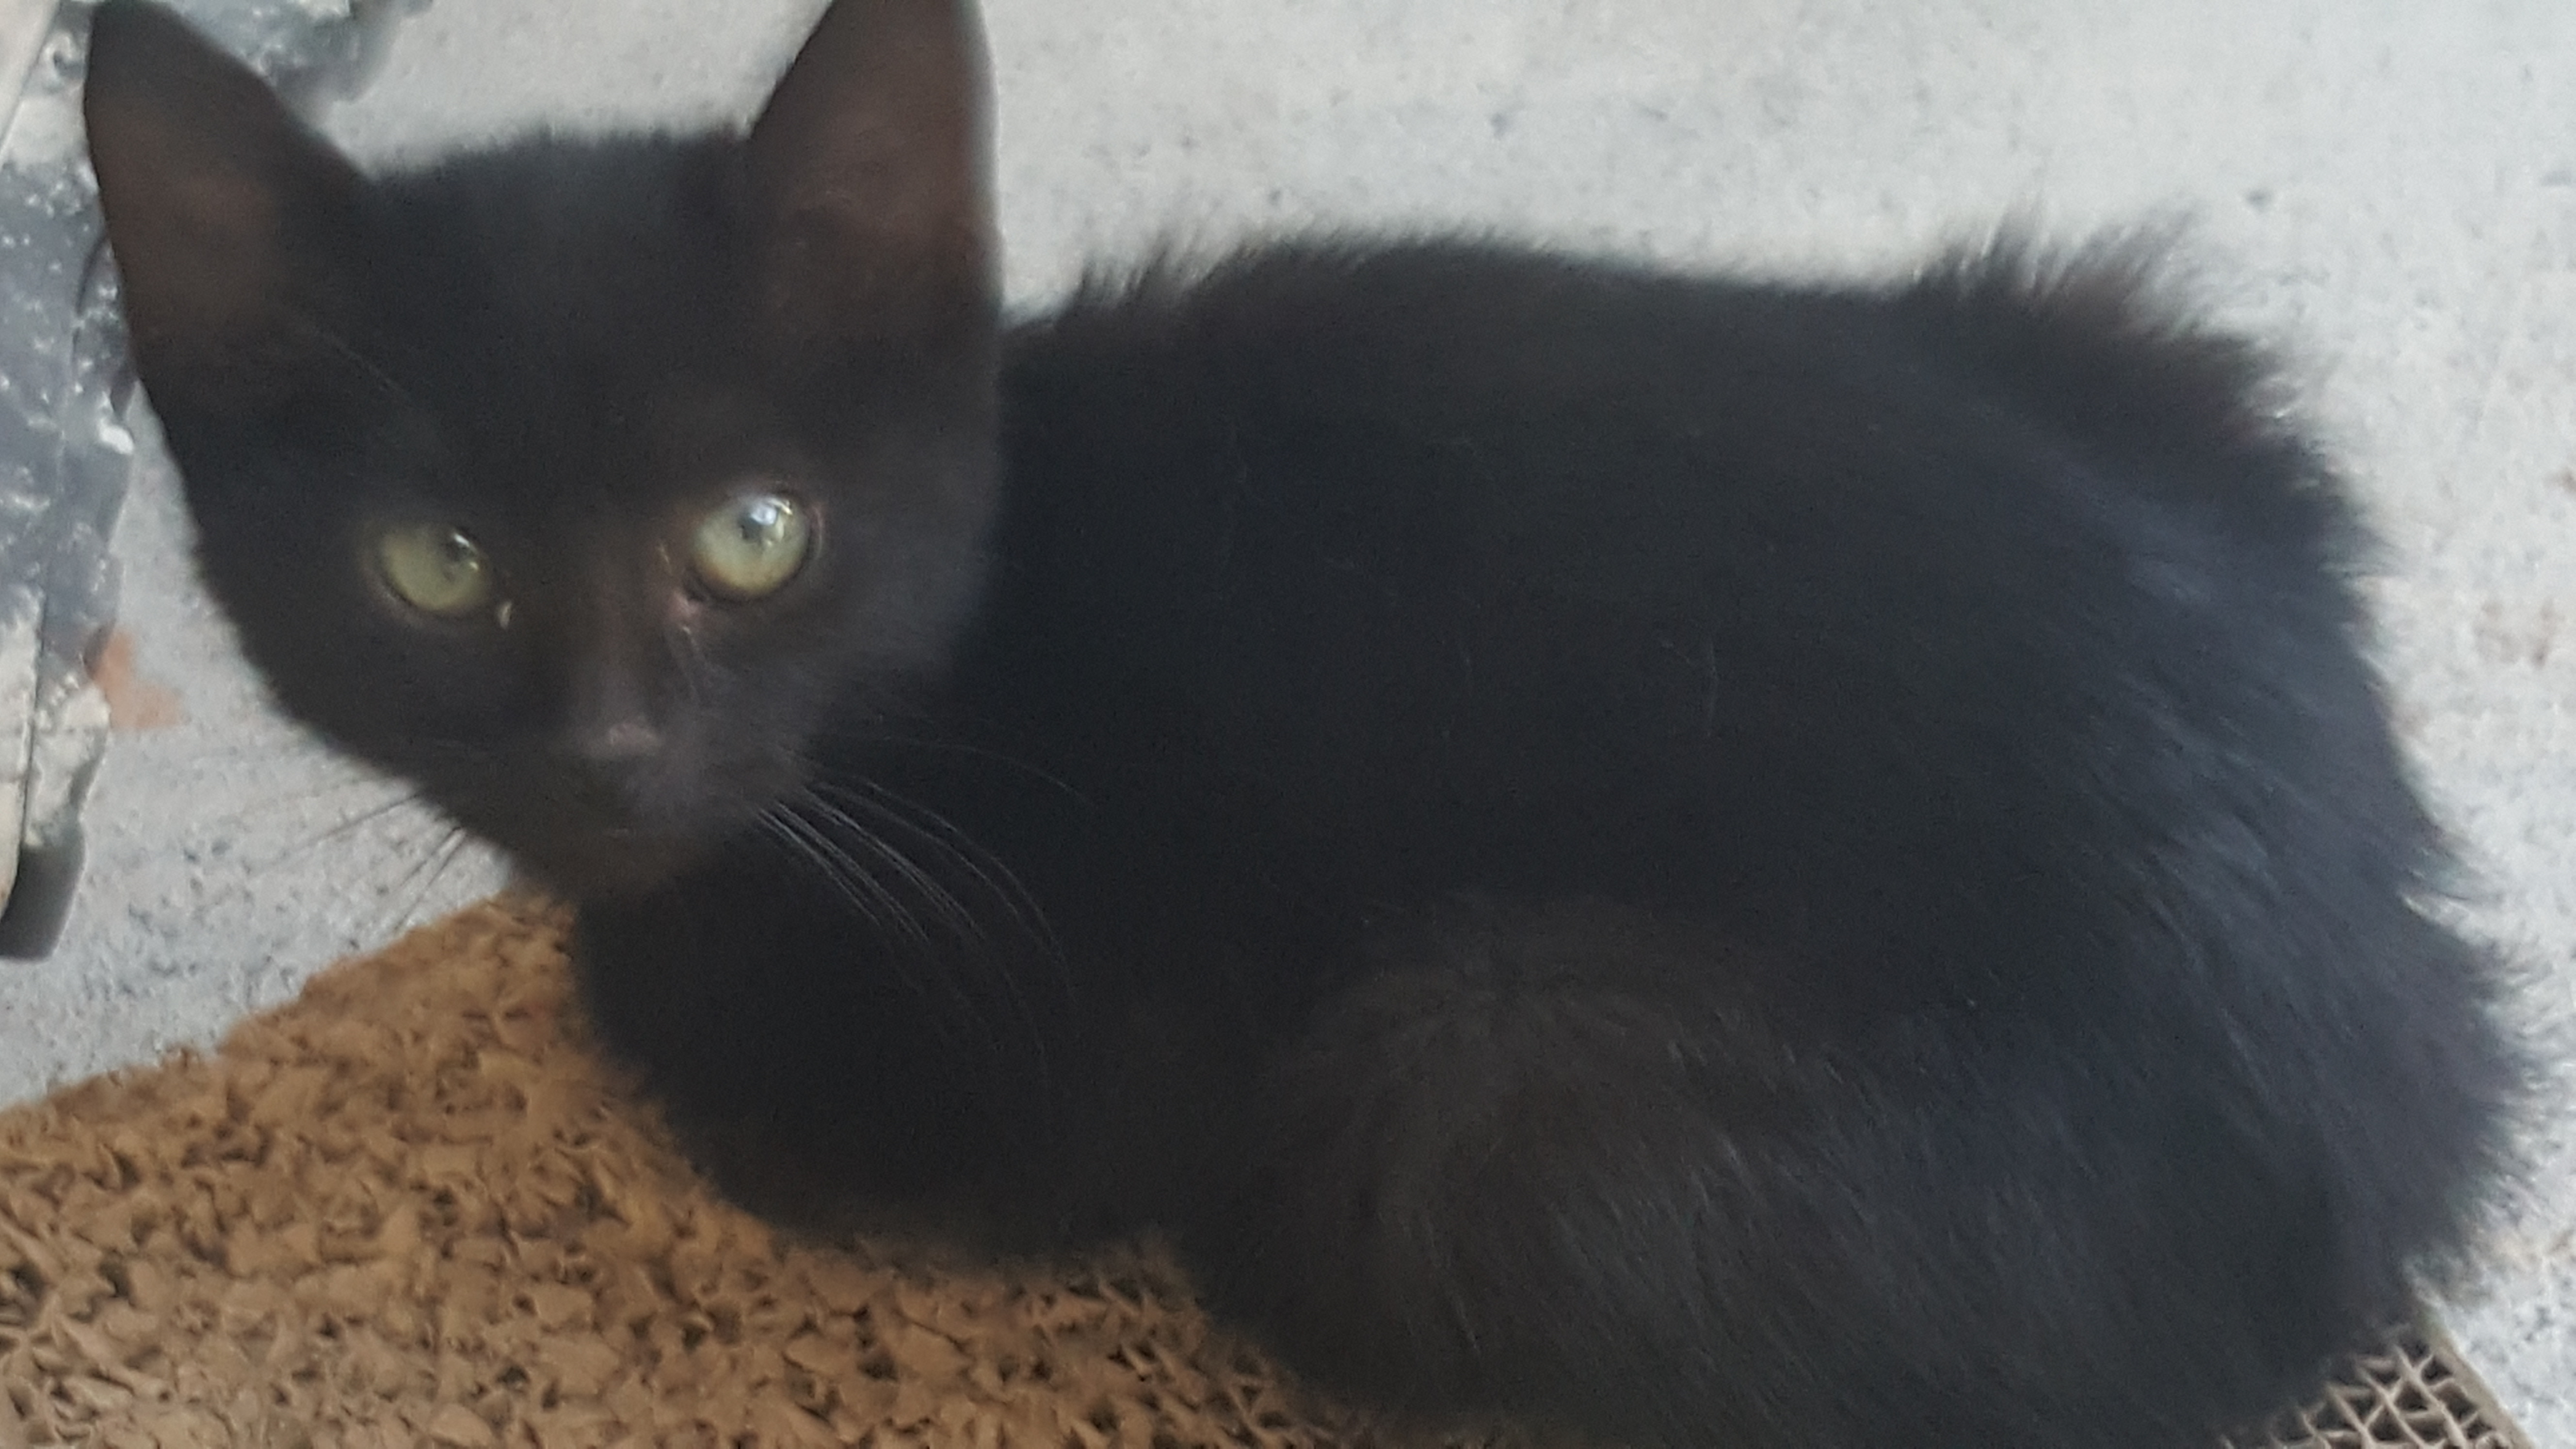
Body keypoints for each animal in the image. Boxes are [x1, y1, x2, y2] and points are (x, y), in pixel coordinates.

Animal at [82, 1, 2523, 1446]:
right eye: (435, 565)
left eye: (754, 534)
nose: (605, 751)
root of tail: (2411, 1063)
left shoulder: (1053, 1055)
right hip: (2139, 338)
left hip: (1446, 1105)